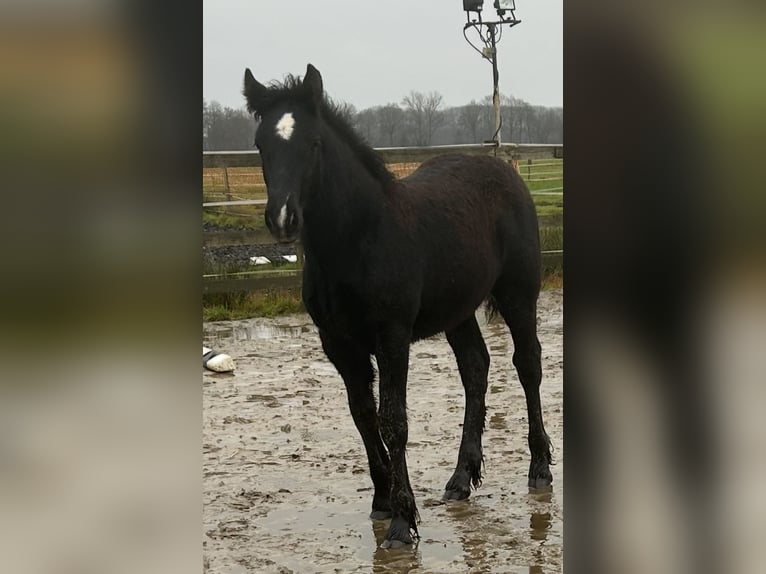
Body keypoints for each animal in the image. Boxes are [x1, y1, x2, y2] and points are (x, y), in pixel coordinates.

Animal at [244, 63, 552, 548]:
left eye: (313, 143)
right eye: (261, 144)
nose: (282, 219)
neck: (359, 239)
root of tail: (504, 170)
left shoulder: (392, 336)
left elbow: (394, 421)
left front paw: (402, 523)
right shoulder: (339, 343)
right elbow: (363, 416)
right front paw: (382, 500)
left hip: (518, 293)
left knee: (528, 365)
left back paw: (539, 468)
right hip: (458, 310)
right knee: (475, 367)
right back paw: (460, 479)